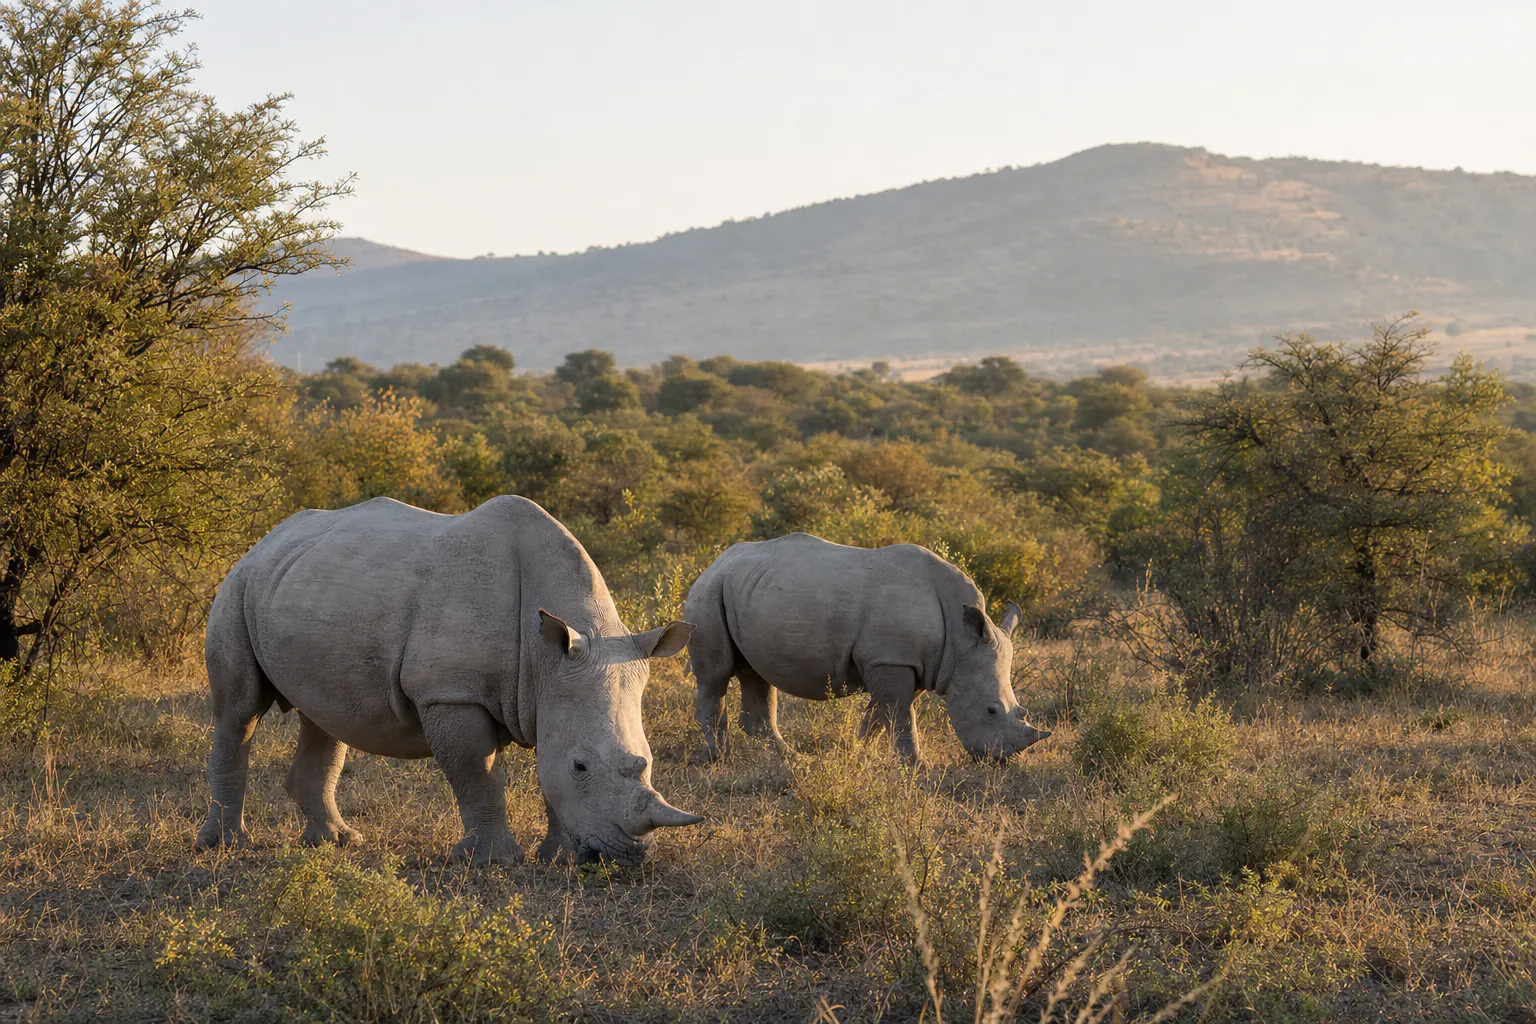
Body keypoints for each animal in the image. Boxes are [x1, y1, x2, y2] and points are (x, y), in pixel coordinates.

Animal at [196, 495, 702, 866]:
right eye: (581, 766)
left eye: (648, 762)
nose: (626, 856)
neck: (547, 659)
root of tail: (267, 537)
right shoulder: (451, 694)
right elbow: (477, 774)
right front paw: (494, 862)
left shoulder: (555, 691)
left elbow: (545, 772)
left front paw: (556, 856)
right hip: (238, 586)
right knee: (238, 711)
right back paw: (225, 846)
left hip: (301, 586)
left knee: (324, 719)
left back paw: (338, 842)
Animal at [685, 533, 1050, 763]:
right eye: (990, 711)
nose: (999, 760)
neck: (961, 640)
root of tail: (717, 559)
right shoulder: (893, 659)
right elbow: (901, 716)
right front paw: (918, 766)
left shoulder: (912, 663)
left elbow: (882, 714)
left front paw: (859, 752)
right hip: (709, 591)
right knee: (715, 676)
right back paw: (719, 758)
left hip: (748, 589)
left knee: (756, 674)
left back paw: (788, 757)